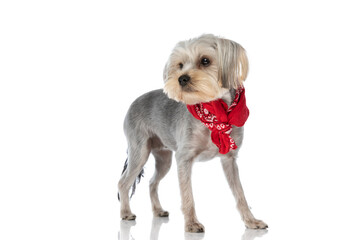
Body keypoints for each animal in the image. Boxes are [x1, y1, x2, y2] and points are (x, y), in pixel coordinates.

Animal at [118, 33, 268, 232]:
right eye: (180, 65)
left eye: (205, 61)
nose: (181, 78)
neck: (214, 111)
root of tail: (133, 102)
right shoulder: (184, 158)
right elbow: (187, 194)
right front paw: (191, 224)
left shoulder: (229, 159)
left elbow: (240, 193)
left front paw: (251, 221)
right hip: (139, 151)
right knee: (123, 183)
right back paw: (125, 213)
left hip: (164, 158)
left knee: (152, 182)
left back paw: (158, 210)